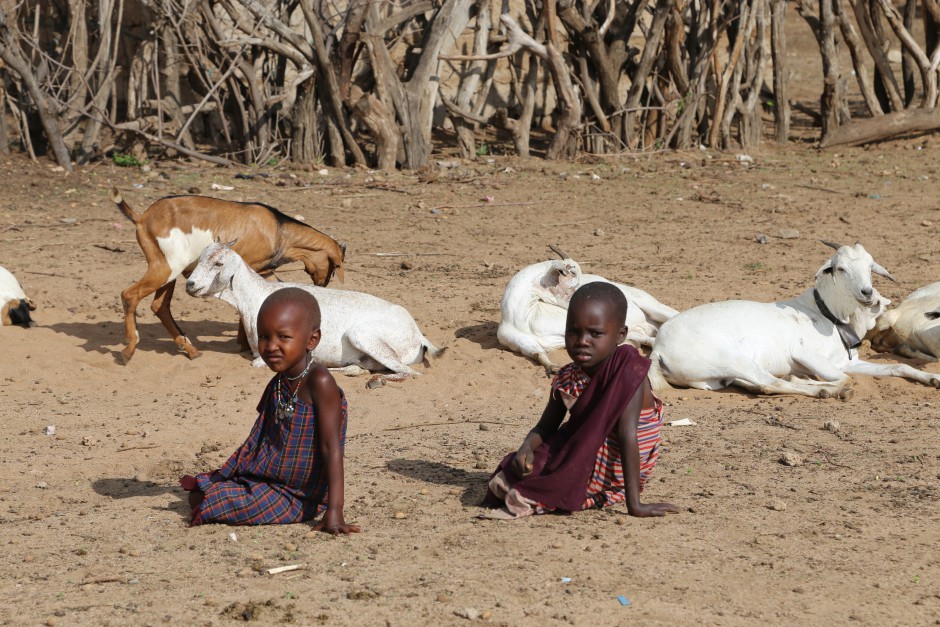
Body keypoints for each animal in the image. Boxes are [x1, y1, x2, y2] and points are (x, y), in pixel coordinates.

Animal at [110, 188, 346, 364]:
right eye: (334, 267)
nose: (323, 285)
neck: (279, 230)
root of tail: (142, 217)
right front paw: (245, 344)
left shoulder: (265, 272)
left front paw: (245, 342)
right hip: (165, 268)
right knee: (129, 295)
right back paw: (128, 350)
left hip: (170, 271)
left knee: (160, 306)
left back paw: (191, 350)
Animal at [648, 243, 940, 400]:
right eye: (840, 268)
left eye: (870, 266)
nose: (867, 293)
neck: (825, 314)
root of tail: (658, 349)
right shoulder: (807, 355)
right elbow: (845, 379)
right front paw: (822, 385)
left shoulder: (848, 361)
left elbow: (897, 367)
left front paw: (933, 378)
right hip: (733, 359)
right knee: (771, 383)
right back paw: (824, 391)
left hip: (714, 378)